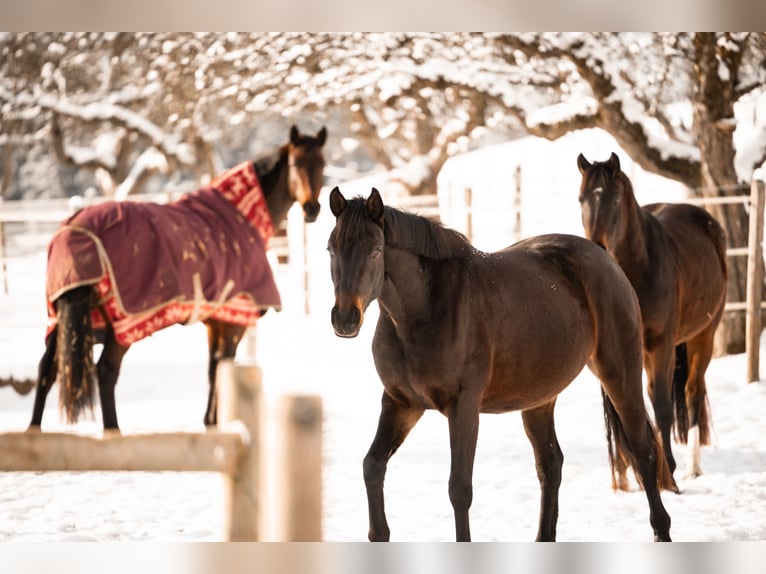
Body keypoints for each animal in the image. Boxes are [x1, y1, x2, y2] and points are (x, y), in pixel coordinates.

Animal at [29, 125, 327, 432]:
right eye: (296, 164)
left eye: (322, 164)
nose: (312, 209)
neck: (242, 217)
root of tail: (72, 232)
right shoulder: (234, 323)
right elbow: (221, 369)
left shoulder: (215, 324)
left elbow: (214, 371)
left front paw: (210, 423)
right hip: (121, 328)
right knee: (105, 373)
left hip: (64, 321)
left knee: (47, 372)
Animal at [327, 186, 673, 542]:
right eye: (331, 249)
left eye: (375, 251)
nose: (345, 319)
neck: (423, 309)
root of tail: (608, 261)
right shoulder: (401, 403)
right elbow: (372, 466)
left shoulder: (463, 407)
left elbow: (459, 489)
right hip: (539, 399)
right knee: (550, 464)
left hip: (620, 376)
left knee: (643, 450)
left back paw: (662, 530)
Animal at [577, 152, 727, 485]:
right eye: (581, 199)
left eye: (616, 198)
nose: (597, 246)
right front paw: (627, 470)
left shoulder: (661, 344)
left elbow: (661, 403)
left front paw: (667, 467)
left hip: (704, 335)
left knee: (692, 392)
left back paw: (692, 466)